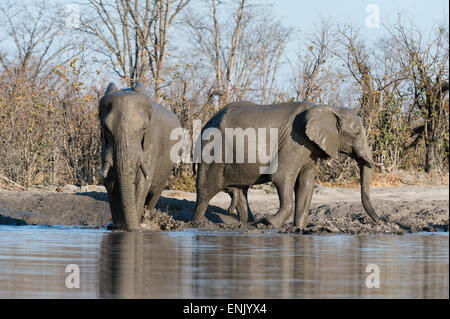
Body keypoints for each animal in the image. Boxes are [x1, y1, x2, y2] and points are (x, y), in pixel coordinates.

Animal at [100, 81, 181, 231]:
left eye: (143, 129)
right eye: (105, 129)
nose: (132, 227)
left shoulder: (152, 139)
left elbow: (142, 181)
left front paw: (135, 228)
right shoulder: (104, 143)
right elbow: (110, 179)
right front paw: (117, 227)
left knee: (156, 191)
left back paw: (147, 218)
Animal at [192, 101, 380, 229]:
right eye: (356, 133)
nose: (380, 221)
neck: (328, 108)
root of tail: (205, 124)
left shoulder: (308, 149)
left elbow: (306, 184)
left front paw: (299, 228)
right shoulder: (294, 142)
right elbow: (282, 177)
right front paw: (269, 222)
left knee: (240, 192)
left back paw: (248, 224)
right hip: (212, 151)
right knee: (206, 191)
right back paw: (198, 224)